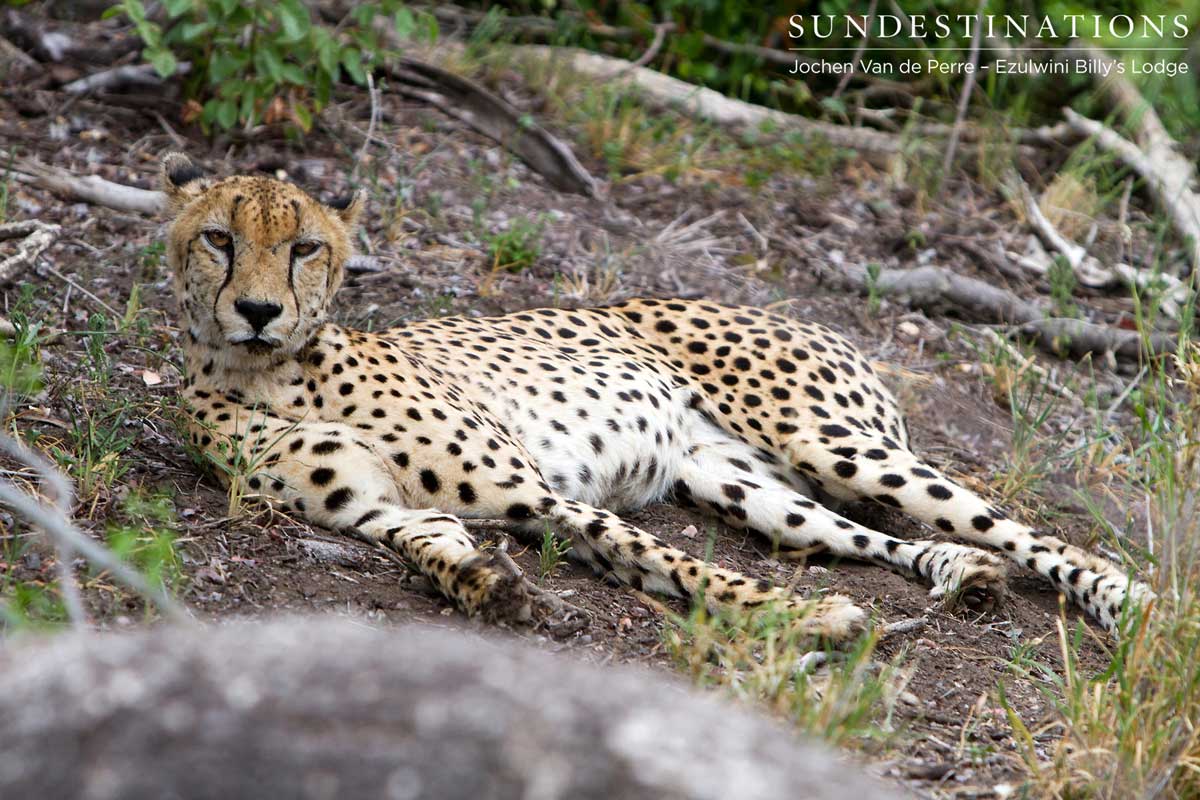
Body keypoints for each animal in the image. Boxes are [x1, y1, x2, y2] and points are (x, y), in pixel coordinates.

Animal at [164, 154, 1147, 638]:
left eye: (304, 249)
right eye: (219, 239)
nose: (257, 311)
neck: (268, 370)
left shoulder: (536, 493)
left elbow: (676, 564)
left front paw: (803, 620)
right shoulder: (386, 512)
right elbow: (440, 550)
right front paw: (498, 592)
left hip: (832, 442)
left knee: (1024, 530)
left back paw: (1122, 603)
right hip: (739, 483)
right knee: (869, 538)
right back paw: (958, 573)